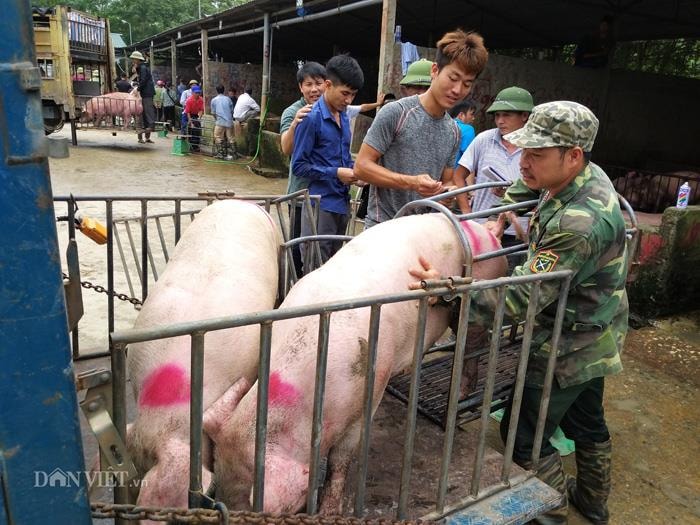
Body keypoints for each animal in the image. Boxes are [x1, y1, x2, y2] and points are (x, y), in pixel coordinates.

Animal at [202, 212, 504, 512]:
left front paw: (328, 511)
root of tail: (488, 232)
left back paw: (461, 394)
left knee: (474, 345)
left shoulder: (367, 392)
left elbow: (342, 456)